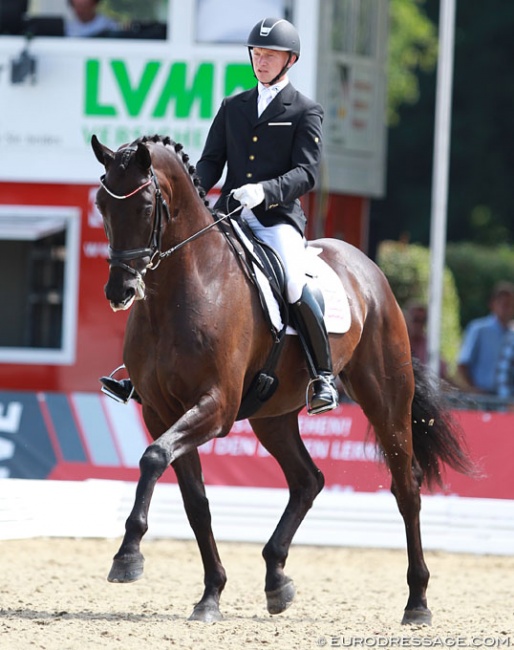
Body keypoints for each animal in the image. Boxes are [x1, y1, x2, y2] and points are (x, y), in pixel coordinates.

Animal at [90, 132, 470, 624]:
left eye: (145, 205)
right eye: (101, 204)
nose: (120, 291)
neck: (183, 288)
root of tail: (367, 267)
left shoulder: (217, 407)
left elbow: (154, 458)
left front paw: (128, 556)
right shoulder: (160, 410)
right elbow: (194, 500)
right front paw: (210, 594)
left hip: (385, 398)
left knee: (406, 487)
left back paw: (417, 602)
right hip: (272, 416)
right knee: (308, 480)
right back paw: (277, 581)